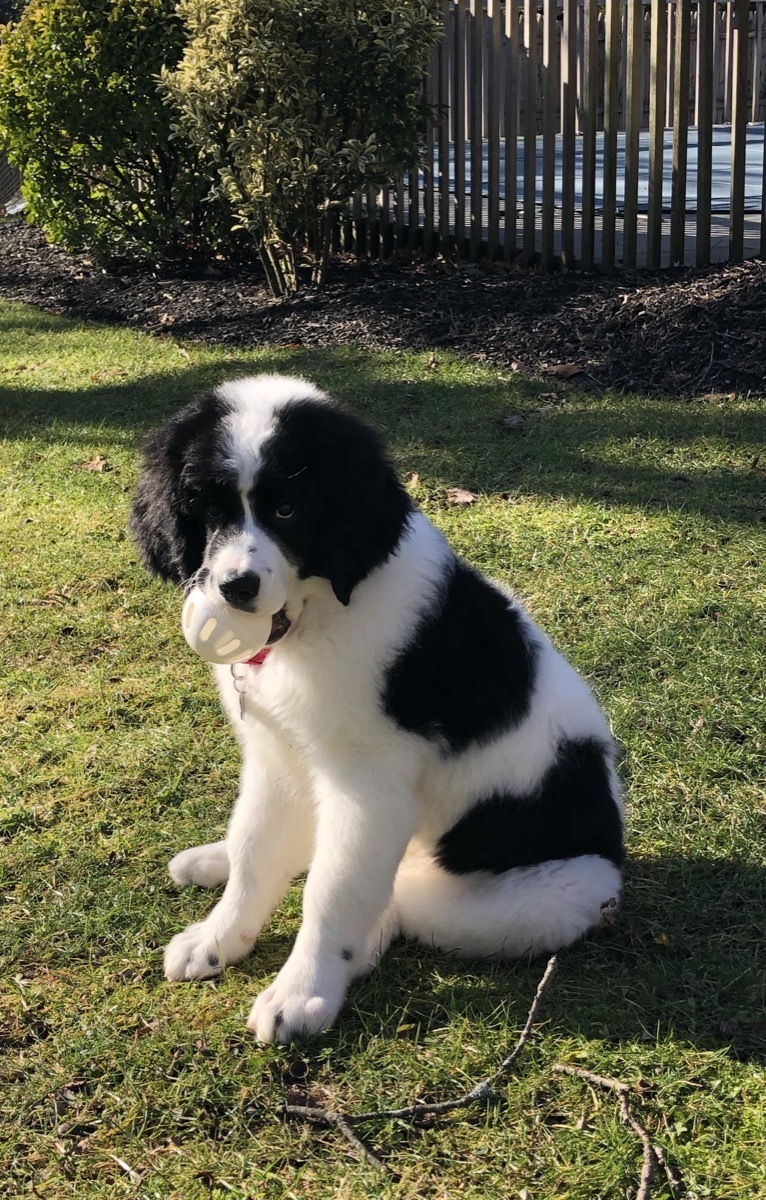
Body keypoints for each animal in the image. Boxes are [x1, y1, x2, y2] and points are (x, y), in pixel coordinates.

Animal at [132, 374, 624, 1041]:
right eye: (209, 508)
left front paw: (302, 994)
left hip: (525, 896)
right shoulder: (278, 752)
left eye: (287, 509)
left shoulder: (369, 787)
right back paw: (214, 860)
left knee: (391, 903)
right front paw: (218, 937)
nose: (235, 588)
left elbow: (332, 891)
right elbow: (255, 849)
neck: (315, 617)